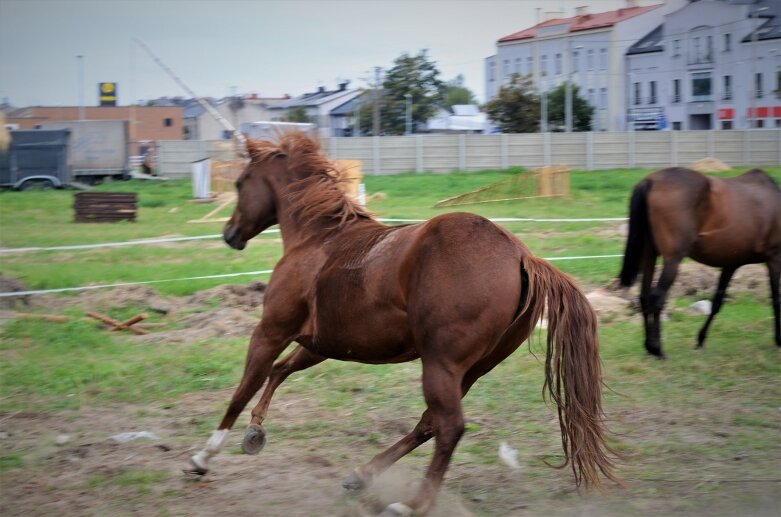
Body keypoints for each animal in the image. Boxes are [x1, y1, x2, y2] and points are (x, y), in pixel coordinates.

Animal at [190, 132, 620, 512]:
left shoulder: (272, 329)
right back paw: (362, 476)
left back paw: (410, 505)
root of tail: (521, 256)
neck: (318, 240)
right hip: (472, 369)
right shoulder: (322, 343)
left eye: (241, 182)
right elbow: (279, 371)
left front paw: (203, 458)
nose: (230, 234)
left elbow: (245, 387)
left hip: (440, 364)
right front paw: (254, 433)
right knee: (429, 424)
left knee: (449, 427)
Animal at [620, 167, 776, 356]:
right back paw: (657, 349)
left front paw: (700, 340)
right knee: (657, 297)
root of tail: (650, 180)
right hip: (672, 260)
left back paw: (649, 347)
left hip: (650, 255)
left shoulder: (730, 264)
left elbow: (717, 302)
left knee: (644, 296)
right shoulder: (774, 258)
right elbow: (777, 299)